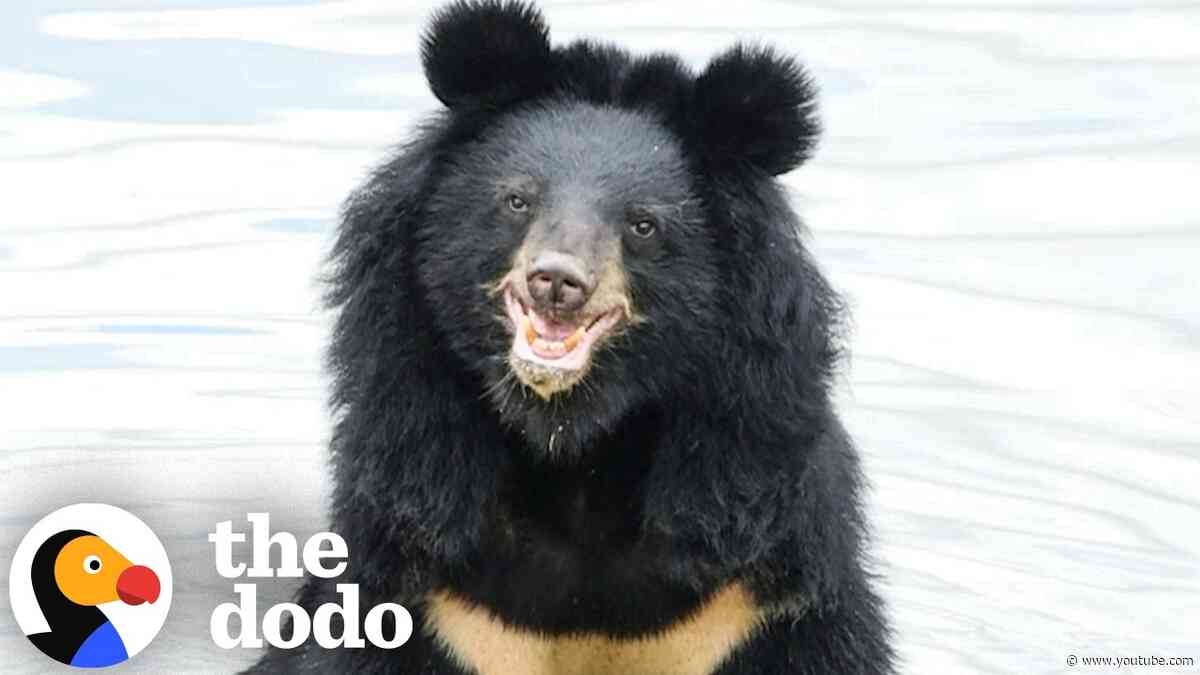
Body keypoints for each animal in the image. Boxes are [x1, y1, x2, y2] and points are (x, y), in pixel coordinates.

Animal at [246, 1, 893, 673]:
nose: (557, 282)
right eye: (516, 199)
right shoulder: (425, 565)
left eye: (643, 225)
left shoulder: (745, 589)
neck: (575, 451)